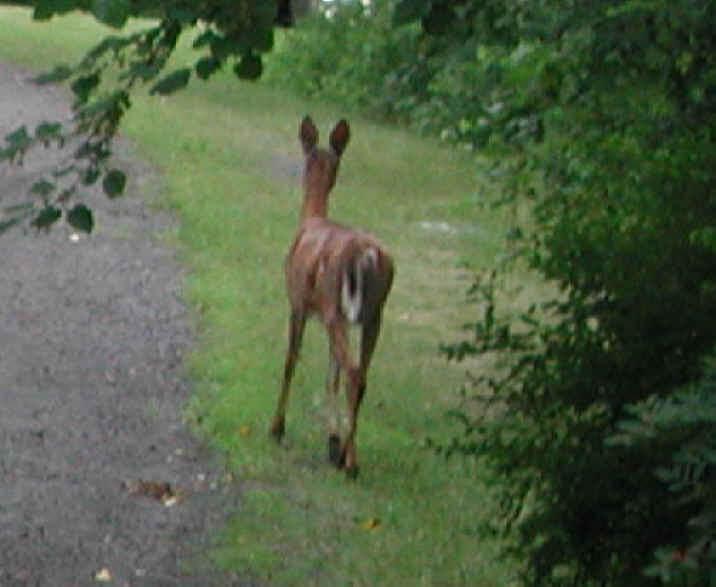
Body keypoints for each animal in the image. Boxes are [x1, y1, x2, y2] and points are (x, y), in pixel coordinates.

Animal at [270, 116, 395, 478]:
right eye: (323, 158)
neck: (310, 219)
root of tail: (367, 255)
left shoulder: (297, 301)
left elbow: (291, 361)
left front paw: (277, 427)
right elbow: (330, 376)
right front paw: (332, 439)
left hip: (333, 308)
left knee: (352, 372)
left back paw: (350, 463)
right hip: (373, 314)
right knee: (360, 374)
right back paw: (346, 454)